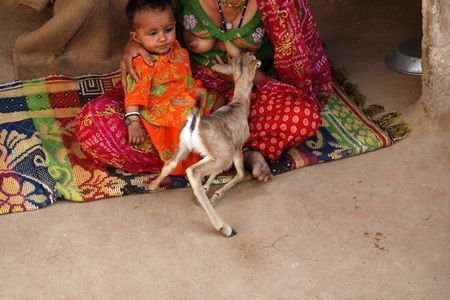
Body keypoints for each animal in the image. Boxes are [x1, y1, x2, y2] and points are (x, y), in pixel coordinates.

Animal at [149, 53, 260, 237]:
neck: (239, 105)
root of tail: (194, 123)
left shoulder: (213, 154)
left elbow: (217, 171)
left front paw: (208, 188)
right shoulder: (236, 148)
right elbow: (240, 174)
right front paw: (215, 195)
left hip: (185, 147)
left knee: (170, 164)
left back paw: (153, 185)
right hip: (221, 155)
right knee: (193, 171)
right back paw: (225, 227)